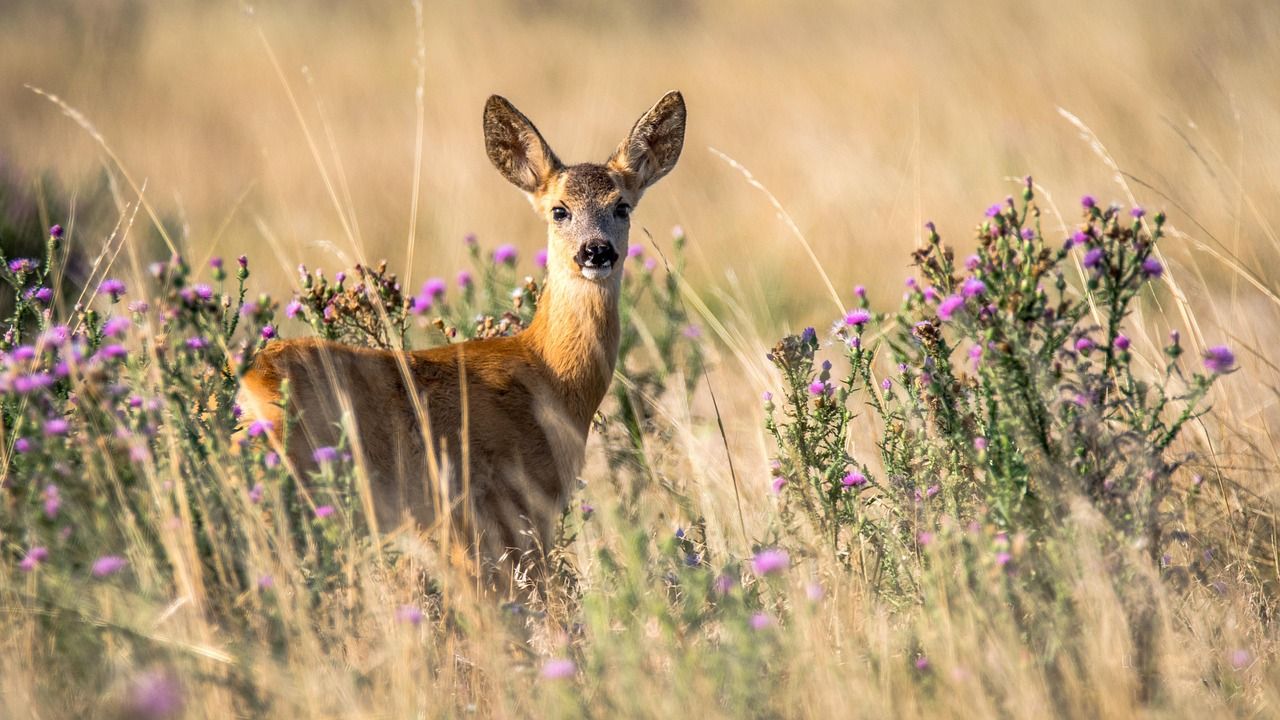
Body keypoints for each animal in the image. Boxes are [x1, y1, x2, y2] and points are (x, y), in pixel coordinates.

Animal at [235, 89, 686, 584]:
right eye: (559, 210)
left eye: (622, 206)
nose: (596, 251)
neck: (550, 377)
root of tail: (250, 382)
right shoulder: (505, 509)